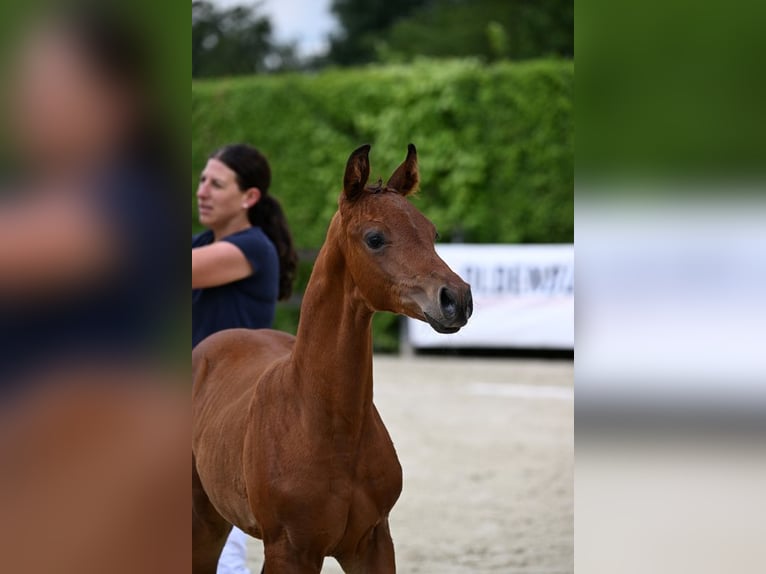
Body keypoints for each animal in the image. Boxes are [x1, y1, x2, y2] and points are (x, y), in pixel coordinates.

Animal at [192, 143, 474, 572]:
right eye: (374, 237)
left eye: (433, 233)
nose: (456, 298)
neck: (331, 428)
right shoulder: (289, 550)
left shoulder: (372, 542)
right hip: (201, 518)